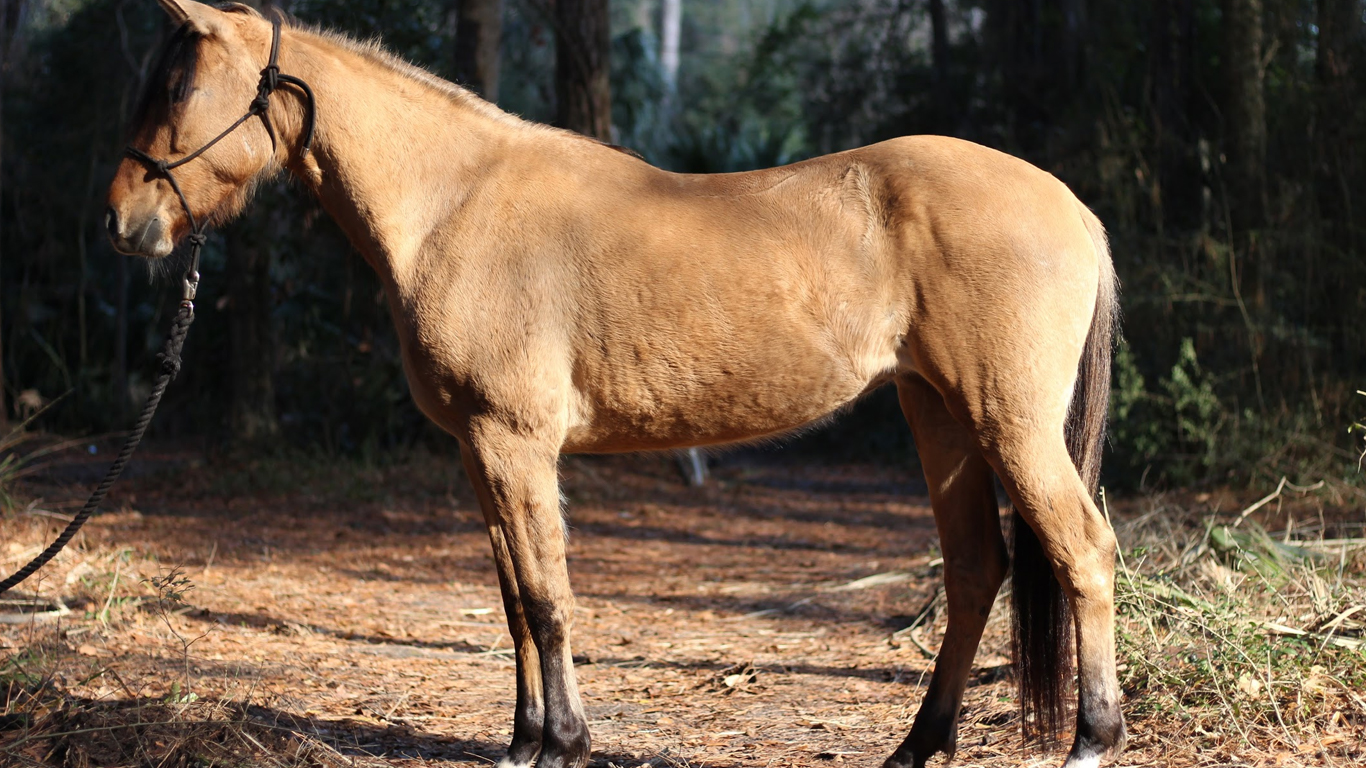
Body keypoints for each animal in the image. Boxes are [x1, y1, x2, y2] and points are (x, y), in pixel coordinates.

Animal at [106, 2, 1125, 759]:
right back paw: (918, 746)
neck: (452, 207)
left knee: (1083, 552)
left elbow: (547, 598)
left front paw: (563, 743)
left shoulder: (514, 442)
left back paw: (1091, 739)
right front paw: (524, 744)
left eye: (180, 85)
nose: (123, 221)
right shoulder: (479, 452)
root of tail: (1074, 207)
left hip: (1009, 424)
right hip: (941, 418)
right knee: (977, 569)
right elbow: (515, 600)